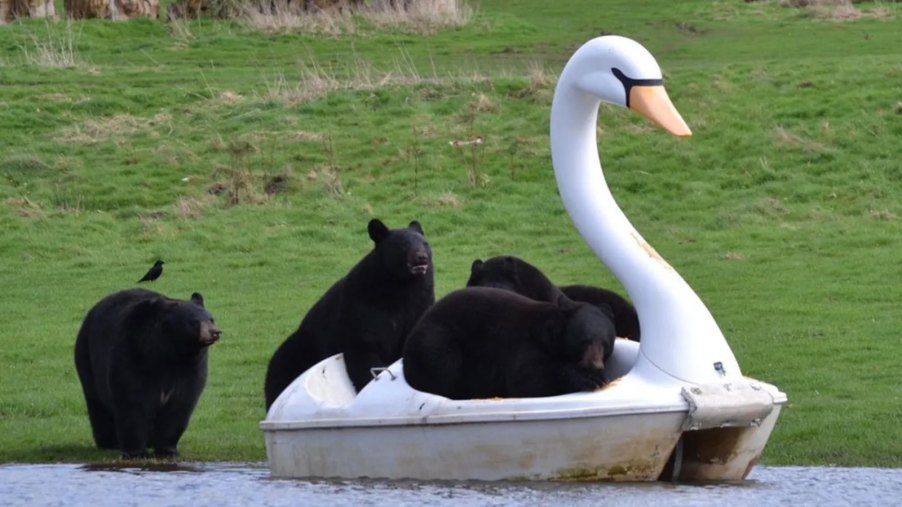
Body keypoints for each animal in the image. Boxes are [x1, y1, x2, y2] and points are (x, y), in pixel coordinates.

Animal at [74, 290, 221, 460]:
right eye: (195, 322)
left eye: (211, 319)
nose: (215, 332)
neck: (169, 354)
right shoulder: (132, 356)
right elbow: (133, 404)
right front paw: (136, 452)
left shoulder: (191, 368)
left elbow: (179, 405)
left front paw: (167, 451)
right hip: (87, 358)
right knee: (97, 403)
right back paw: (108, 442)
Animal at [264, 218, 438, 408]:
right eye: (403, 245)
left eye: (425, 243)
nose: (422, 257)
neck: (402, 286)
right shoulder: (362, 307)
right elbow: (363, 348)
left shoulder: (420, 303)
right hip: (298, 349)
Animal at [406, 290, 616, 400]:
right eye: (584, 340)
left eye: (605, 344)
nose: (595, 364)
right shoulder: (524, 342)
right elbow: (526, 379)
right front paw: (589, 378)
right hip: (436, 339)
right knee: (441, 361)